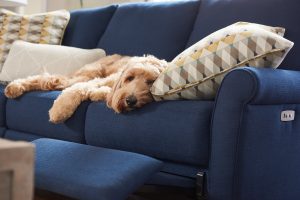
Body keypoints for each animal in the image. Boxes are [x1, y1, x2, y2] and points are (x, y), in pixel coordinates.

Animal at [4, 54, 168, 123]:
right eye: (130, 78)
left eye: (150, 81)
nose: (131, 100)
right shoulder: (105, 80)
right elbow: (78, 90)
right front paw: (60, 111)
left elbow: (103, 93)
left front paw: (98, 93)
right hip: (87, 73)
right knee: (51, 79)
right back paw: (14, 86)